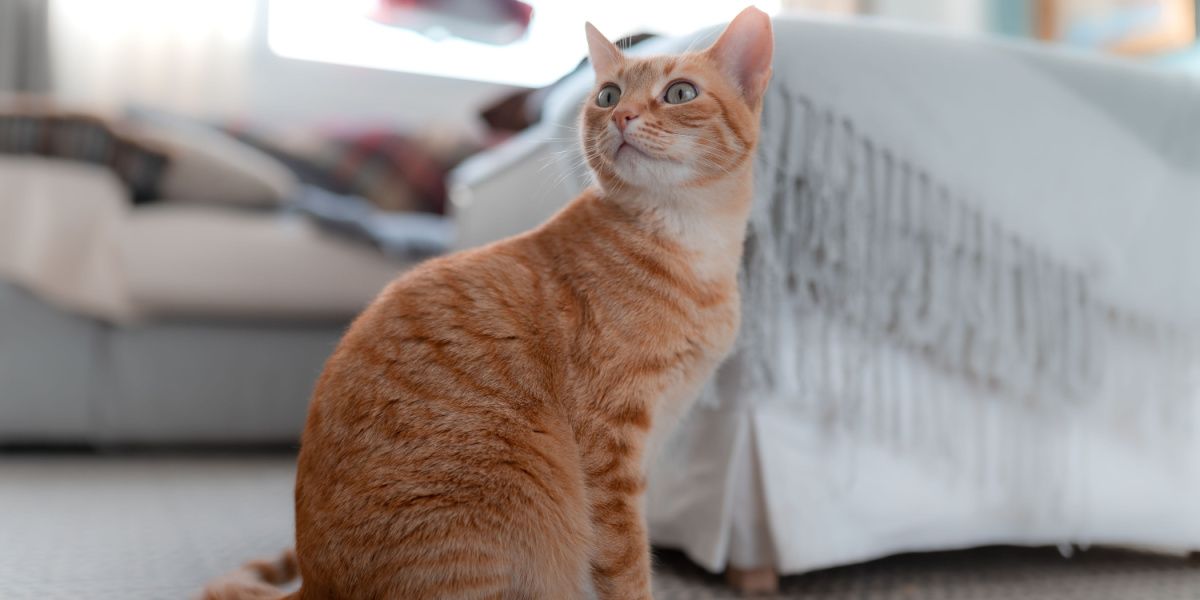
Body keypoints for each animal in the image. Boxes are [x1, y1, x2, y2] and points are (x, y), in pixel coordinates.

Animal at [202, 9, 772, 600]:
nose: (623, 115)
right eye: (609, 95)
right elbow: (627, 560)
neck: (693, 245)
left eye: (680, 92)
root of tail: (313, 585)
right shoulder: (611, 447)